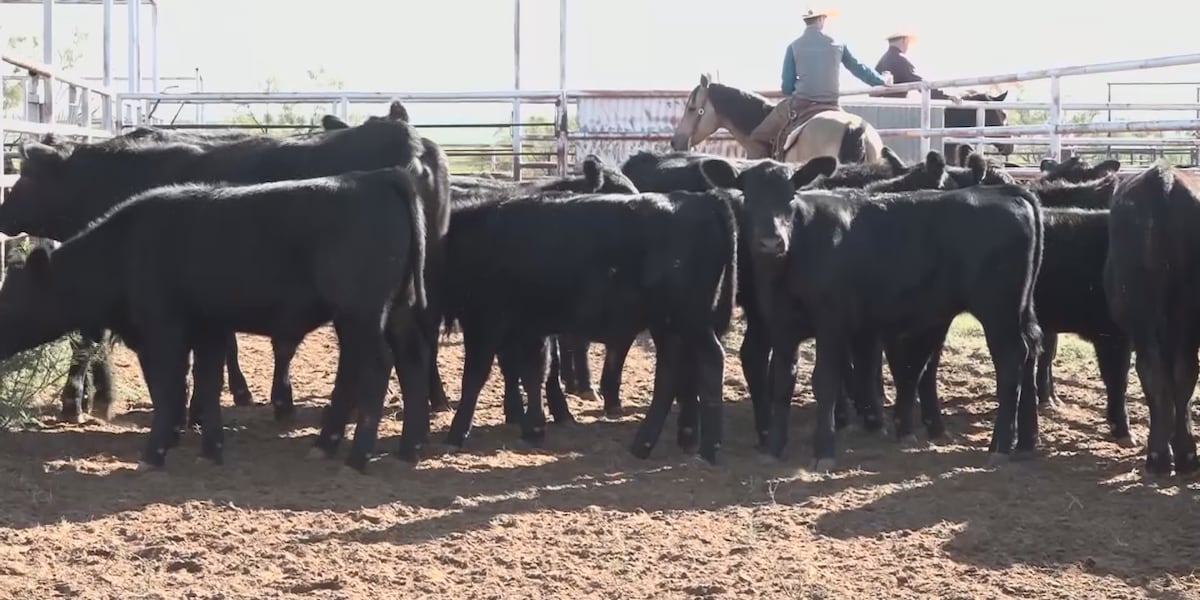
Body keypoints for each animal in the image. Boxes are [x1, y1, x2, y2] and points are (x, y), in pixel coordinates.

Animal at [699, 157, 1043, 469]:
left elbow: (825, 381)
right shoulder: (782, 325)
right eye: (748, 196)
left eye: (791, 195)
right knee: (1029, 350)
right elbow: (784, 382)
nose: (771, 242)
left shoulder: (831, 323)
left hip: (998, 310)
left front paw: (824, 451)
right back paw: (1020, 441)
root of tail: (1007, 192)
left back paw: (1000, 446)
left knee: (1010, 360)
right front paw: (773, 448)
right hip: (1018, 310)